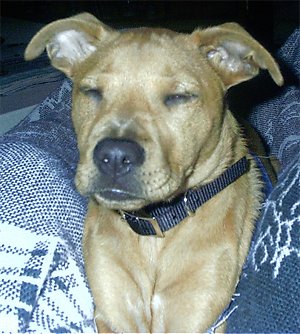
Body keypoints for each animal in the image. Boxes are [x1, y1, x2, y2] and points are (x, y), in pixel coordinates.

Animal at [25, 12, 284, 332]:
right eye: (91, 92)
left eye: (180, 97)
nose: (114, 156)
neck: (154, 230)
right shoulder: (111, 314)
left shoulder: (198, 317)